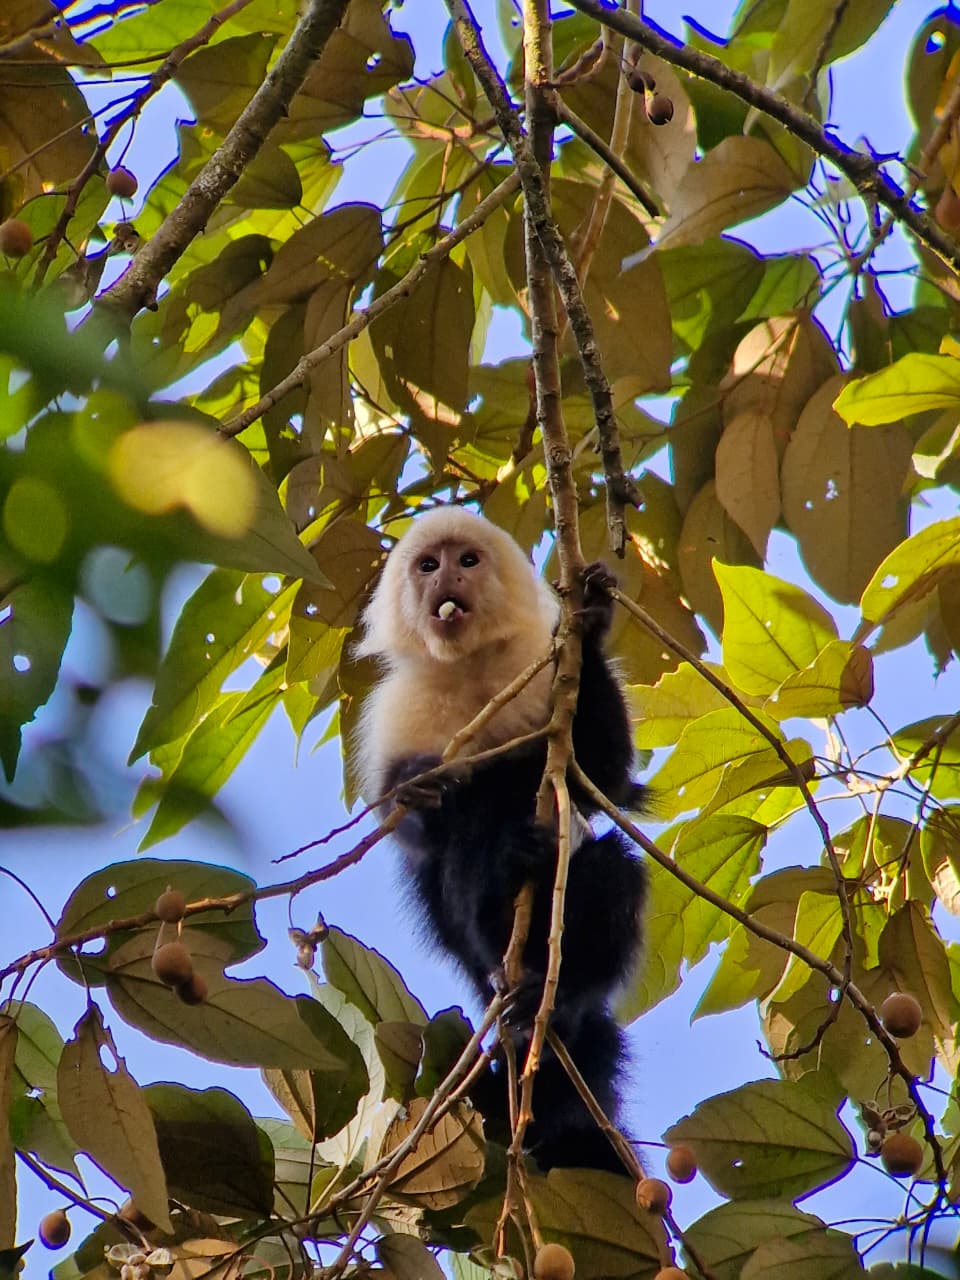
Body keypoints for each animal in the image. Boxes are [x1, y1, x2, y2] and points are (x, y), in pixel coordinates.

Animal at [354, 507, 645, 1174]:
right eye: (427, 565)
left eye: (467, 560)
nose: (445, 584)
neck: (473, 670)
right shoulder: (399, 711)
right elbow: (419, 837)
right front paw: (418, 789)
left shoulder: (538, 667)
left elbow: (603, 773)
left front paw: (592, 618)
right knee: (469, 854)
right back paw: (505, 889)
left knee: (611, 866)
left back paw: (555, 997)